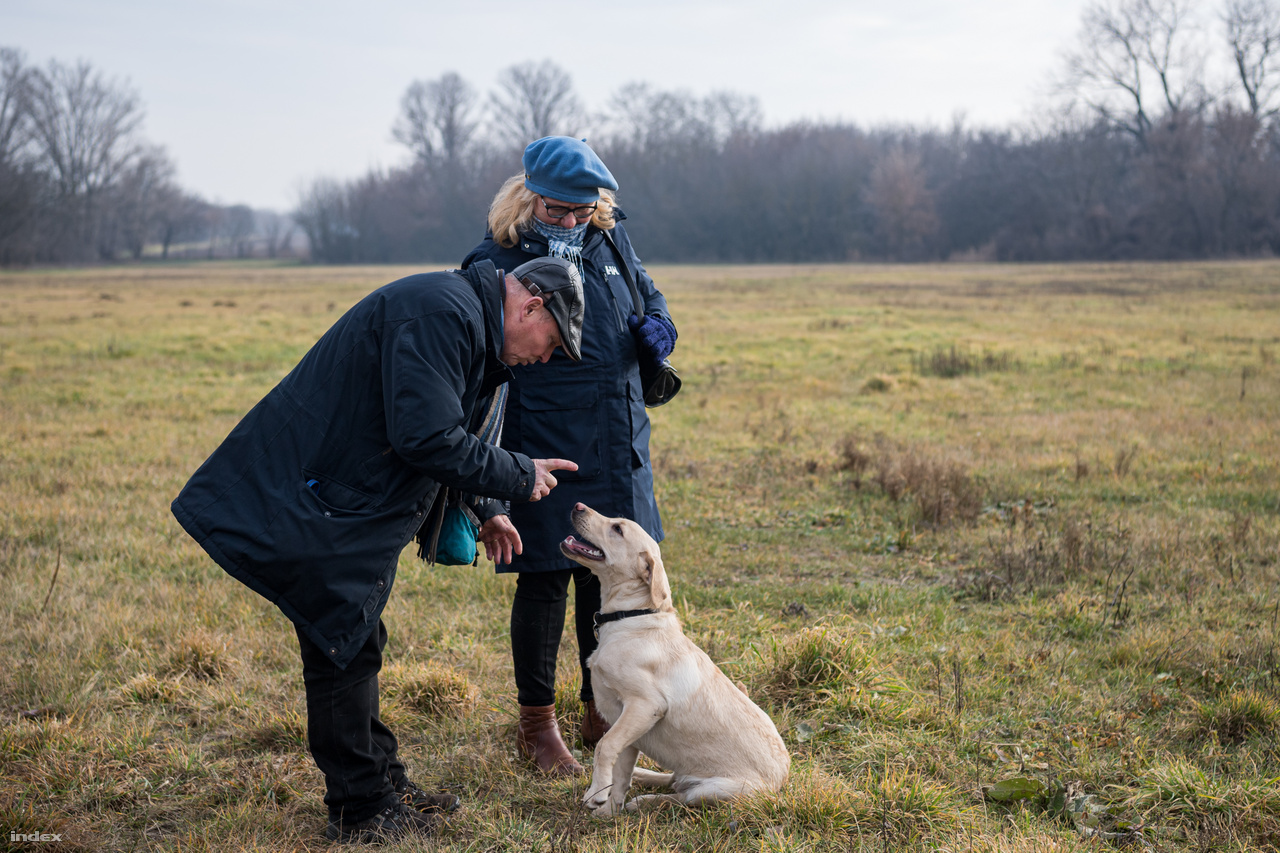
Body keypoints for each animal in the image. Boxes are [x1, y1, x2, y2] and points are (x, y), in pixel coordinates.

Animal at [560, 502, 788, 814]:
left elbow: (604, 747)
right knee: (672, 780)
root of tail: (782, 783)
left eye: (617, 528)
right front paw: (608, 811)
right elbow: (619, 771)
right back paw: (643, 778)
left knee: (682, 798)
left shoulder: (645, 705)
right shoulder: (624, 719)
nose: (577, 505)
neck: (632, 616)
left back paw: (645, 800)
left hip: (719, 789)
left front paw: (596, 793)